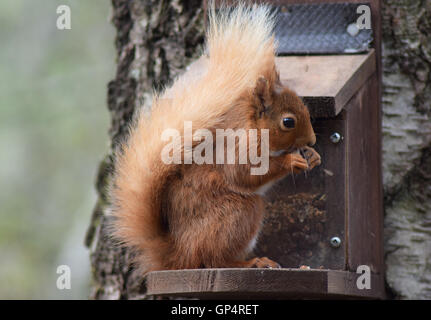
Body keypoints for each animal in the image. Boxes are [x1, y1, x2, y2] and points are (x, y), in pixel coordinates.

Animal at [109, 2, 322, 274]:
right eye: (288, 122)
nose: (312, 140)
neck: (254, 127)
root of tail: (178, 255)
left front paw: (313, 156)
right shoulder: (238, 146)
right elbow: (243, 172)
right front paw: (291, 161)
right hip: (236, 213)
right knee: (214, 259)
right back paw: (252, 262)